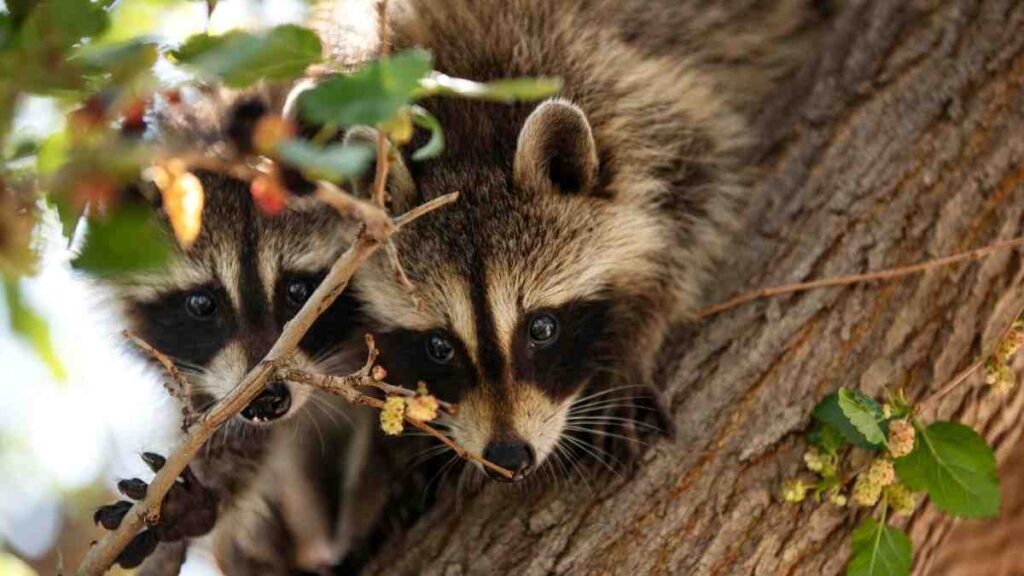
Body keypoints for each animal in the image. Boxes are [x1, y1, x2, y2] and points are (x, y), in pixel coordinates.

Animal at [331, 0, 827, 479]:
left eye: (542, 327)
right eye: (439, 346)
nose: (509, 457)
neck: (468, 138)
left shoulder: (628, 94)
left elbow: (693, 205)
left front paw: (633, 340)